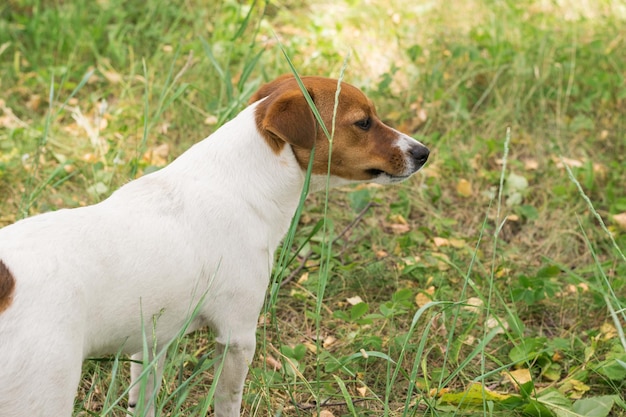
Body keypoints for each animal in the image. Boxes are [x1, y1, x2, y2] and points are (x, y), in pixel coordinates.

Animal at [0, 75, 426, 416]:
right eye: (363, 122)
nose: (423, 152)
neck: (242, 182)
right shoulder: (237, 337)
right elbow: (228, 401)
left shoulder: (152, 341)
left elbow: (144, 399)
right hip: (43, 391)